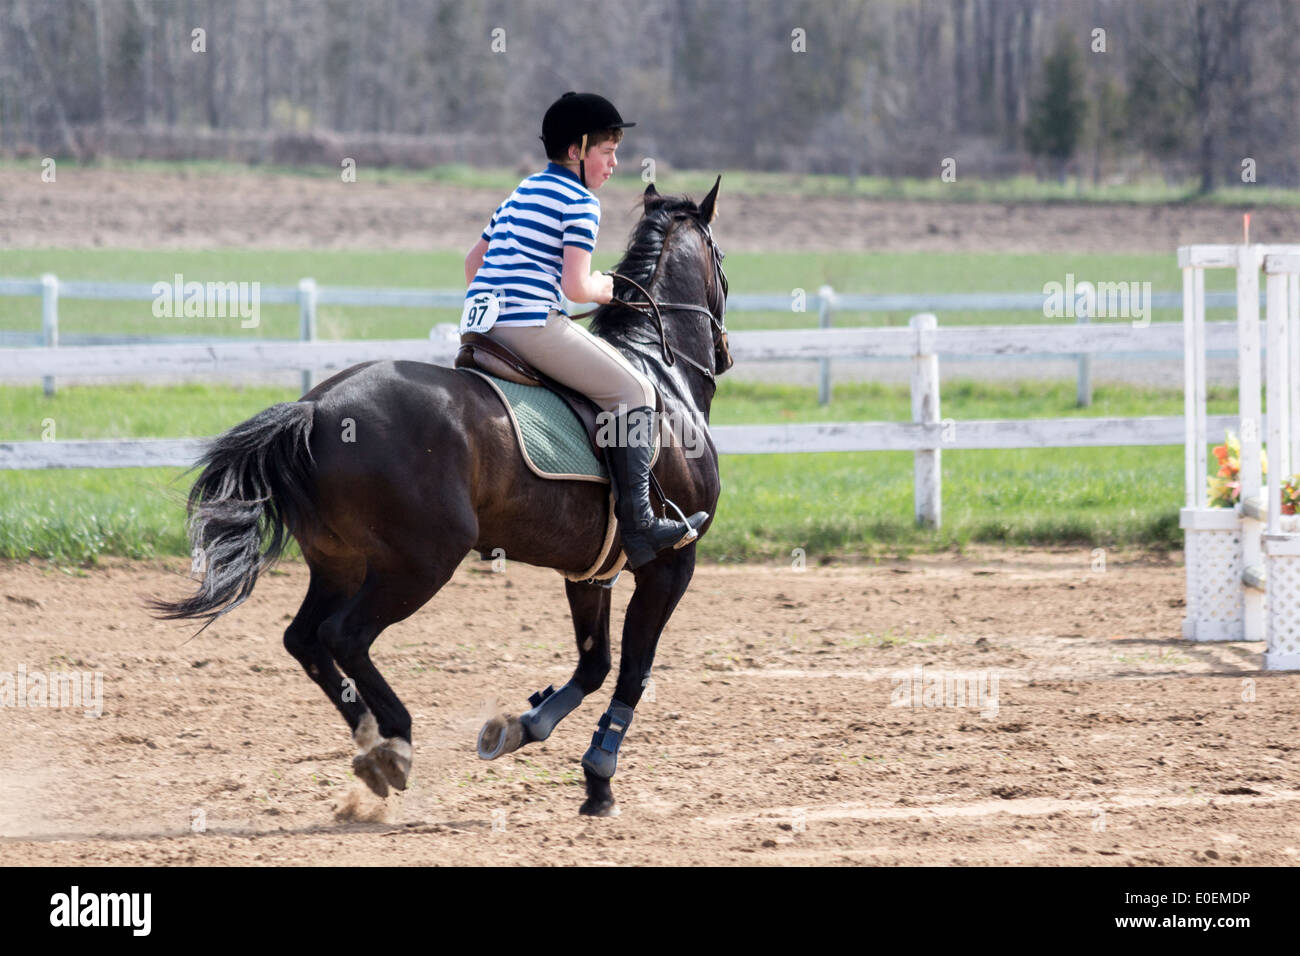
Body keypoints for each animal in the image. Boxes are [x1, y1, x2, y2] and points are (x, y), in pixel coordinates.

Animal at [149, 178, 733, 816]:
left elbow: (595, 664)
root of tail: (315, 408)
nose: (725, 353)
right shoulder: (672, 562)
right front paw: (599, 772)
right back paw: (395, 741)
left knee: (303, 638)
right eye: (723, 263)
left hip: (340, 562)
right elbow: (631, 671)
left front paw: (528, 730)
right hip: (421, 562)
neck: (660, 372)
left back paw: (372, 747)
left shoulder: (590, 570)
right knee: (343, 636)